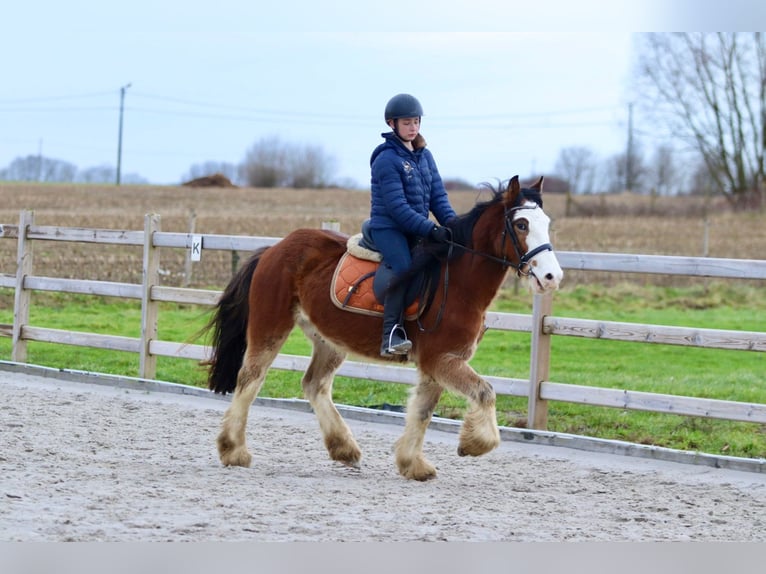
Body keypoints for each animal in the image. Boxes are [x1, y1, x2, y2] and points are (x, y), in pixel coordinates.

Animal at [202, 176, 564, 482]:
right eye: (521, 224)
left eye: (547, 224)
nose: (552, 277)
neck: (458, 283)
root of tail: (275, 249)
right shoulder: (442, 359)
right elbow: (485, 392)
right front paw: (473, 445)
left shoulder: (436, 365)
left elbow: (422, 411)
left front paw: (413, 464)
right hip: (271, 326)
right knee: (250, 379)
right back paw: (234, 451)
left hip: (330, 340)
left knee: (314, 385)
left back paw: (344, 448)